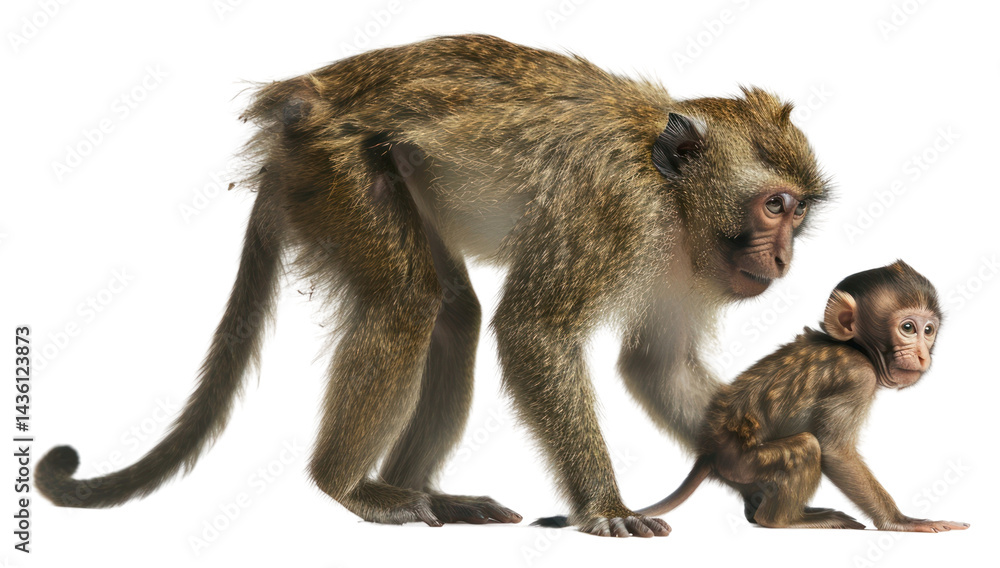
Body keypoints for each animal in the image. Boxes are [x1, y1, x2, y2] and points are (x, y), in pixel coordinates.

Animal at [35, 34, 830, 537]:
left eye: (799, 214)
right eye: (774, 206)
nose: (785, 257)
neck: (668, 189)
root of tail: (296, 113)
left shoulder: (681, 263)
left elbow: (657, 366)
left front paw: (764, 472)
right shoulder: (610, 208)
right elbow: (533, 333)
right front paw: (605, 506)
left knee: (452, 314)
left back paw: (422, 492)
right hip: (342, 169)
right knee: (407, 302)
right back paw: (349, 486)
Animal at [537, 261, 970, 532]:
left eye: (929, 330)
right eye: (908, 327)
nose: (923, 354)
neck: (856, 348)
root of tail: (711, 450)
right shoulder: (855, 377)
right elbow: (833, 449)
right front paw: (902, 521)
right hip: (743, 461)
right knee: (806, 447)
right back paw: (785, 520)